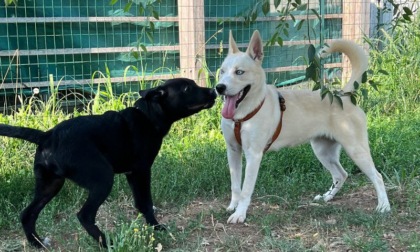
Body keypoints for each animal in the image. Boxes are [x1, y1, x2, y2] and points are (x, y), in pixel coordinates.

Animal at [0, 79, 217, 248]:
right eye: (187, 88)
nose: (214, 90)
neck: (147, 116)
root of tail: (47, 136)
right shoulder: (142, 171)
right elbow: (146, 203)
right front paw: (156, 227)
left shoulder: (133, 174)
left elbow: (140, 203)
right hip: (102, 178)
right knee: (84, 215)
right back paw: (106, 243)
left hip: (50, 185)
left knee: (27, 214)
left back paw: (36, 243)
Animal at [215, 30, 392, 223]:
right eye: (222, 71)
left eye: (239, 72)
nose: (219, 87)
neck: (241, 115)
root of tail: (341, 95)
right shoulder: (233, 151)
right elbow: (235, 186)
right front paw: (233, 206)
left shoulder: (253, 155)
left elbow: (246, 189)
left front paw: (240, 214)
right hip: (323, 151)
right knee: (341, 174)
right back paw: (327, 197)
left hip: (356, 150)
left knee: (377, 176)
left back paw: (384, 206)